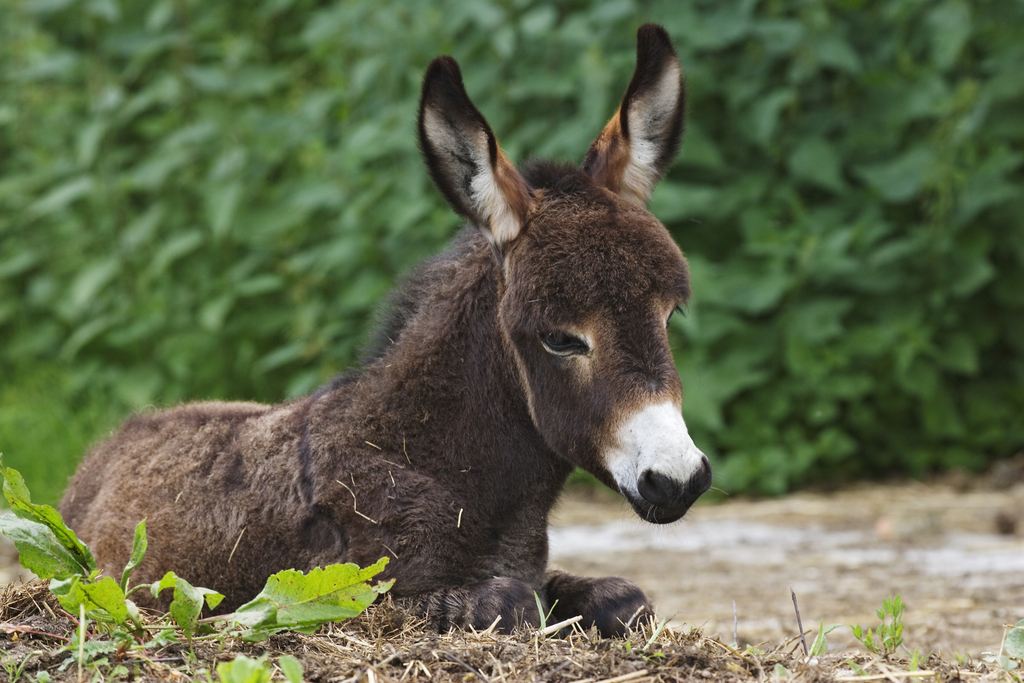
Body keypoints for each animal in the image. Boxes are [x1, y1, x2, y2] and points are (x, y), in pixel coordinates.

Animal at [59, 25, 708, 634]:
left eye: (670, 314)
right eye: (560, 338)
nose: (678, 479)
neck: (435, 464)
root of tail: (114, 439)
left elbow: (625, 599)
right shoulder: (351, 593)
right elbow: (511, 604)